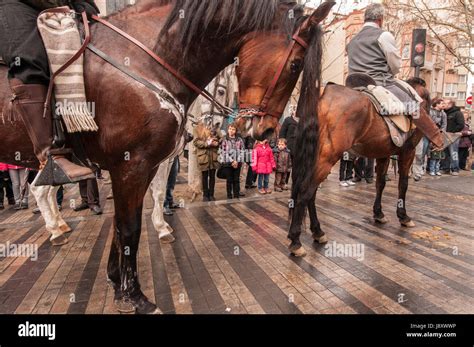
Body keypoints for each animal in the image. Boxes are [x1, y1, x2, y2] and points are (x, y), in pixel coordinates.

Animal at [0, 0, 334, 314]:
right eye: (295, 64)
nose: (265, 132)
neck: (147, 59)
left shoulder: (140, 167)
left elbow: (123, 222)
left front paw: (117, 281)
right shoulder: (132, 165)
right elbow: (130, 228)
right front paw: (135, 297)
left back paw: (58, 227)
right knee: (41, 191)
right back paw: (56, 228)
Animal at [286, 75, 434, 258]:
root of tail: (323, 97)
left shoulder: (384, 154)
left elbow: (380, 183)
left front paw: (378, 213)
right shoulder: (408, 152)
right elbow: (403, 184)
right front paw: (403, 216)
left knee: (310, 194)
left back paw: (318, 232)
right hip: (326, 159)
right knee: (306, 192)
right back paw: (296, 241)